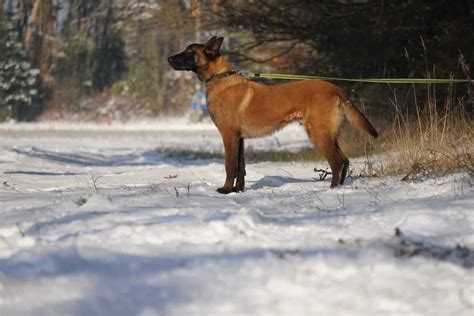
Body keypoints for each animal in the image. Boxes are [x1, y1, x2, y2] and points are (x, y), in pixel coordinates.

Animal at [167, 37, 378, 195]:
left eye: (189, 52)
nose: (168, 59)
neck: (219, 78)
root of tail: (335, 87)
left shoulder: (229, 135)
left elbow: (230, 165)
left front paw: (226, 190)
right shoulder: (239, 138)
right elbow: (241, 168)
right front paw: (238, 190)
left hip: (318, 134)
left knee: (337, 161)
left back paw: (332, 189)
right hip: (328, 135)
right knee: (345, 160)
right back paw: (340, 187)